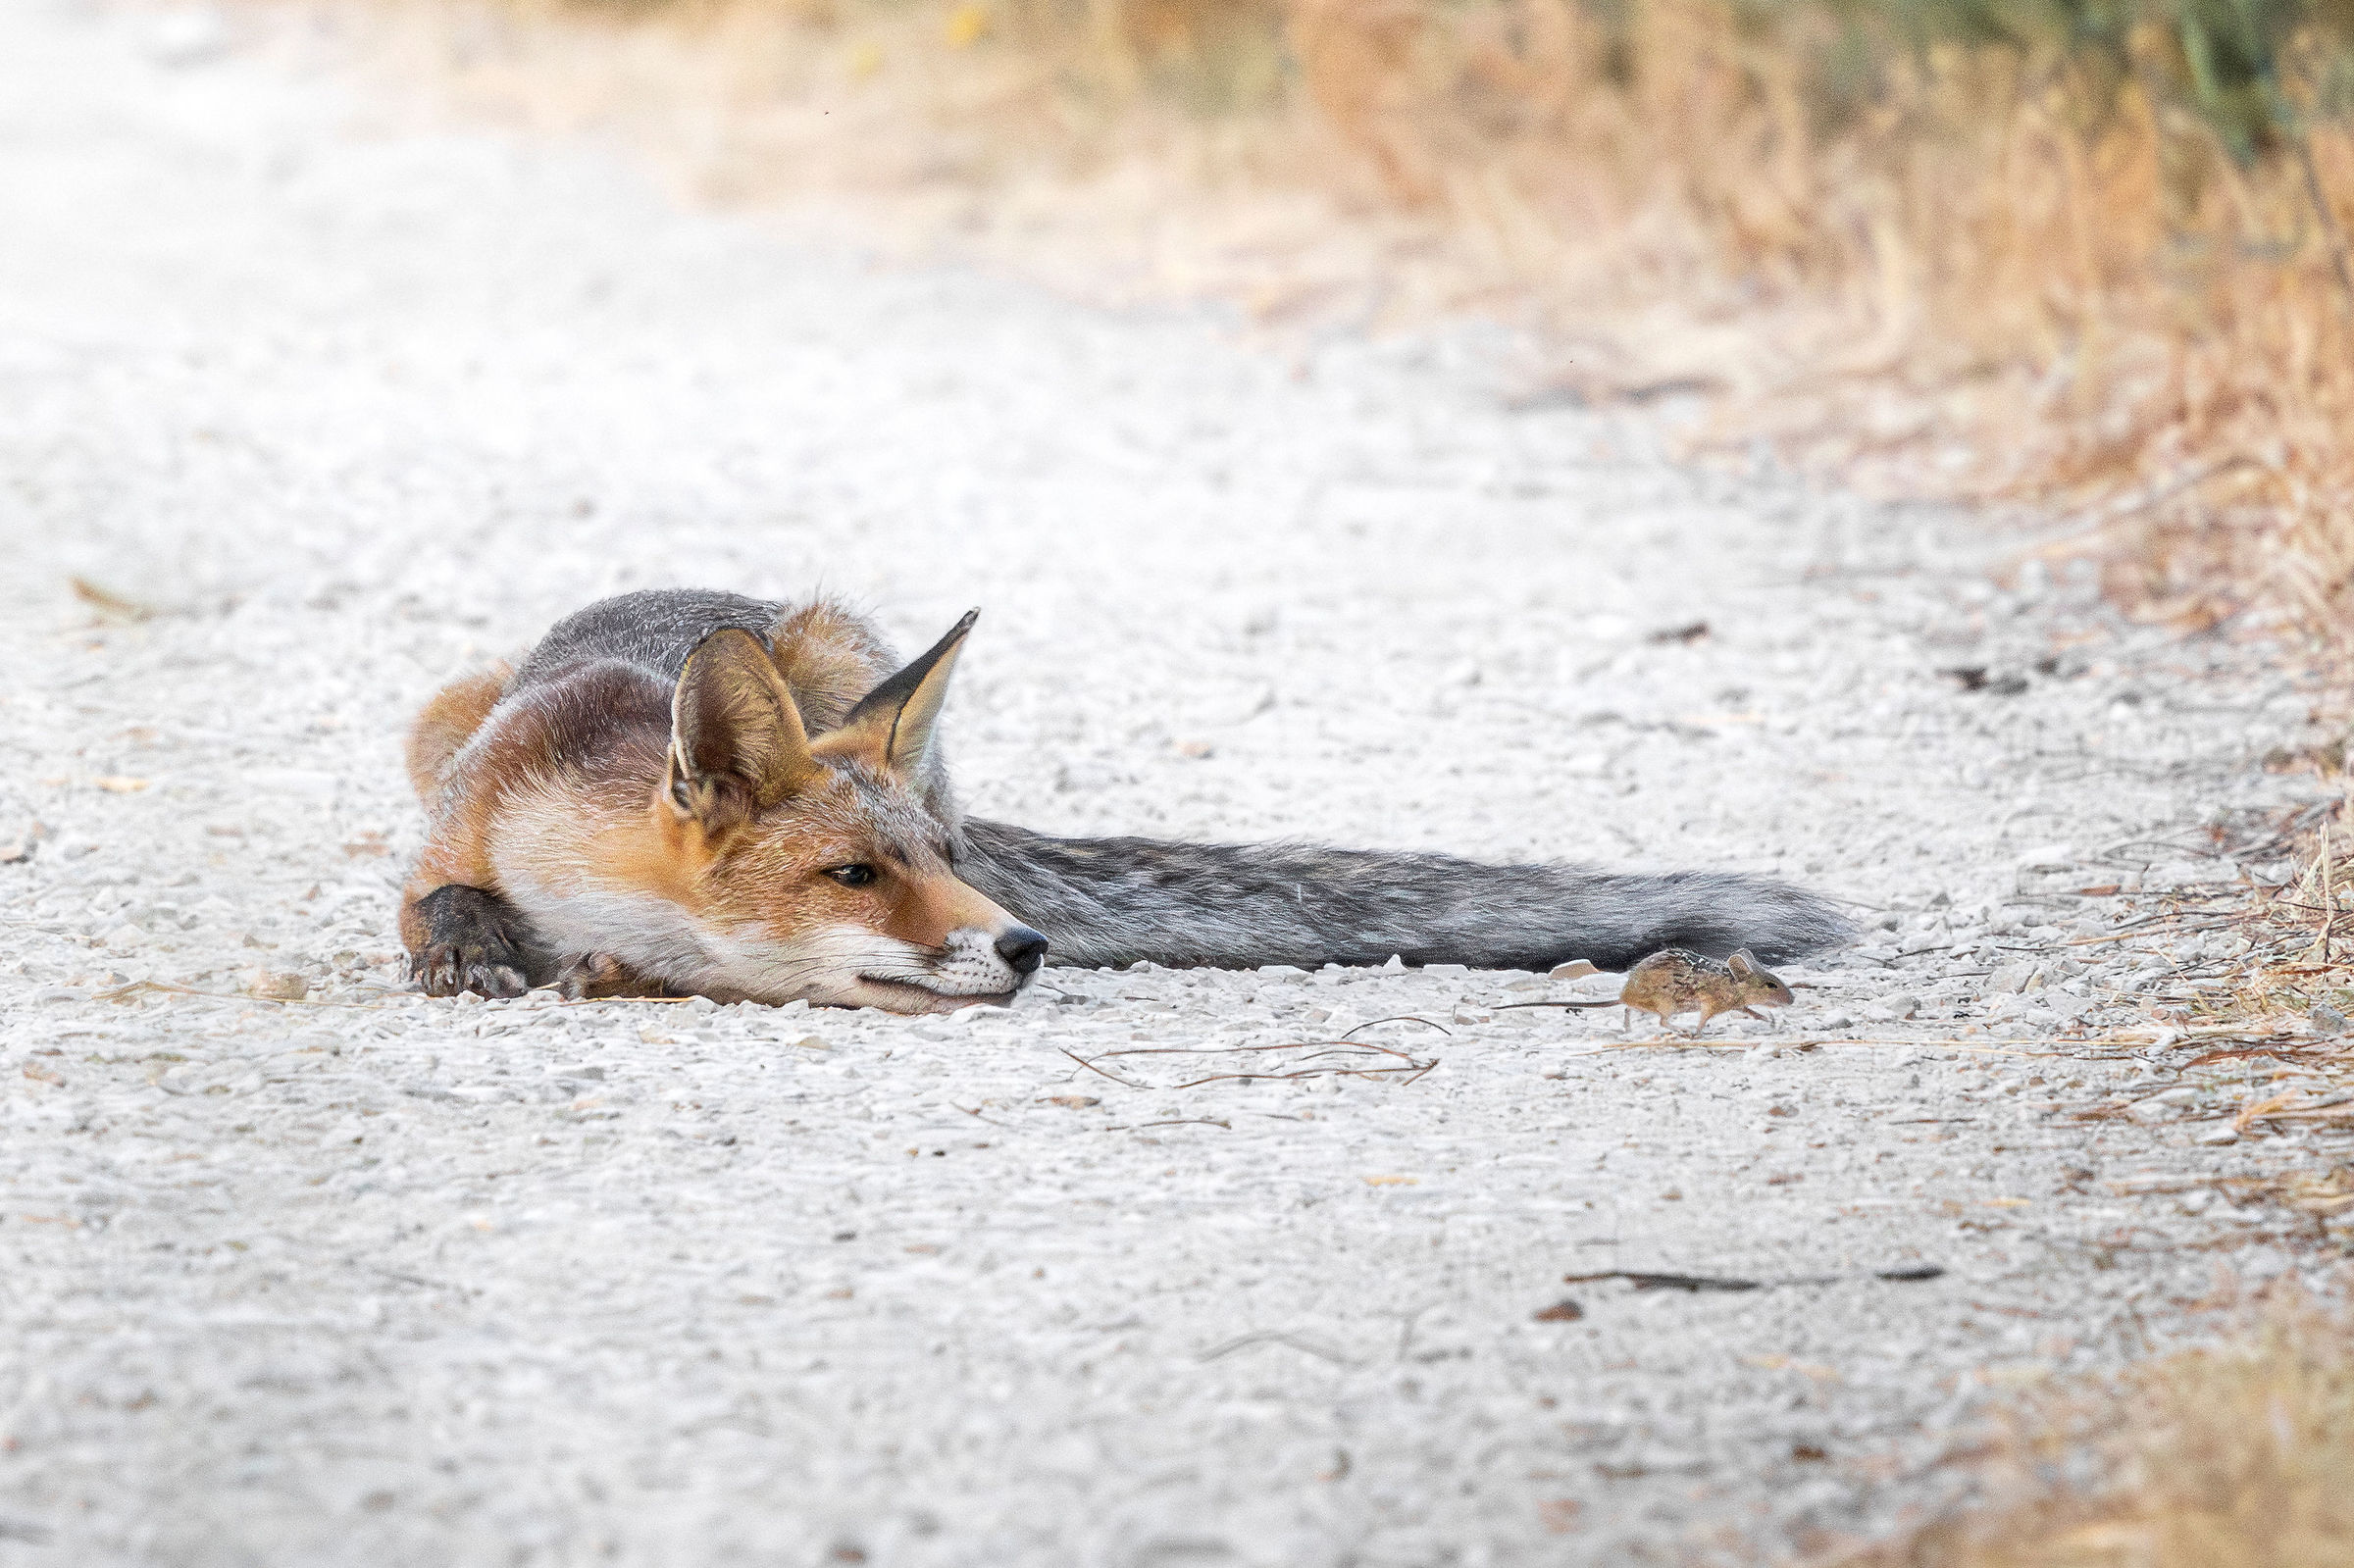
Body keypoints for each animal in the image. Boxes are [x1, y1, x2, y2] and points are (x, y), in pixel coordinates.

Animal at [399, 589, 1850, 1014]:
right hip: (438, 711)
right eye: (853, 874)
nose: (1023, 943)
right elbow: (434, 898)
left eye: (933, 861)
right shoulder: (456, 812)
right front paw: (473, 942)